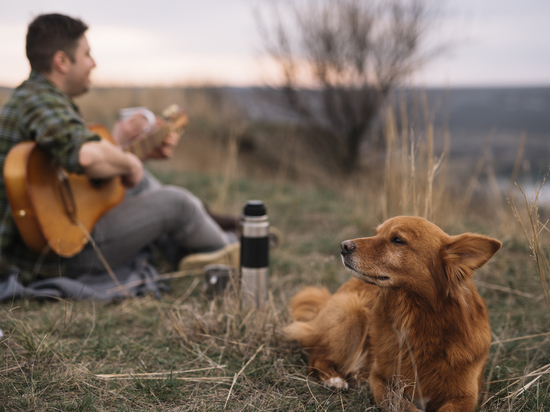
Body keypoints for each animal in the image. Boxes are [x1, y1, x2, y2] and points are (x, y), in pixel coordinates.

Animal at [286, 217, 502, 410]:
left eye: (397, 240)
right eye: (376, 233)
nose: (343, 245)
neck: (414, 319)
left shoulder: (466, 395)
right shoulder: (379, 379)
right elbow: (402, 405)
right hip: (353, 312)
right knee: (316, 356)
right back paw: (334, 379)